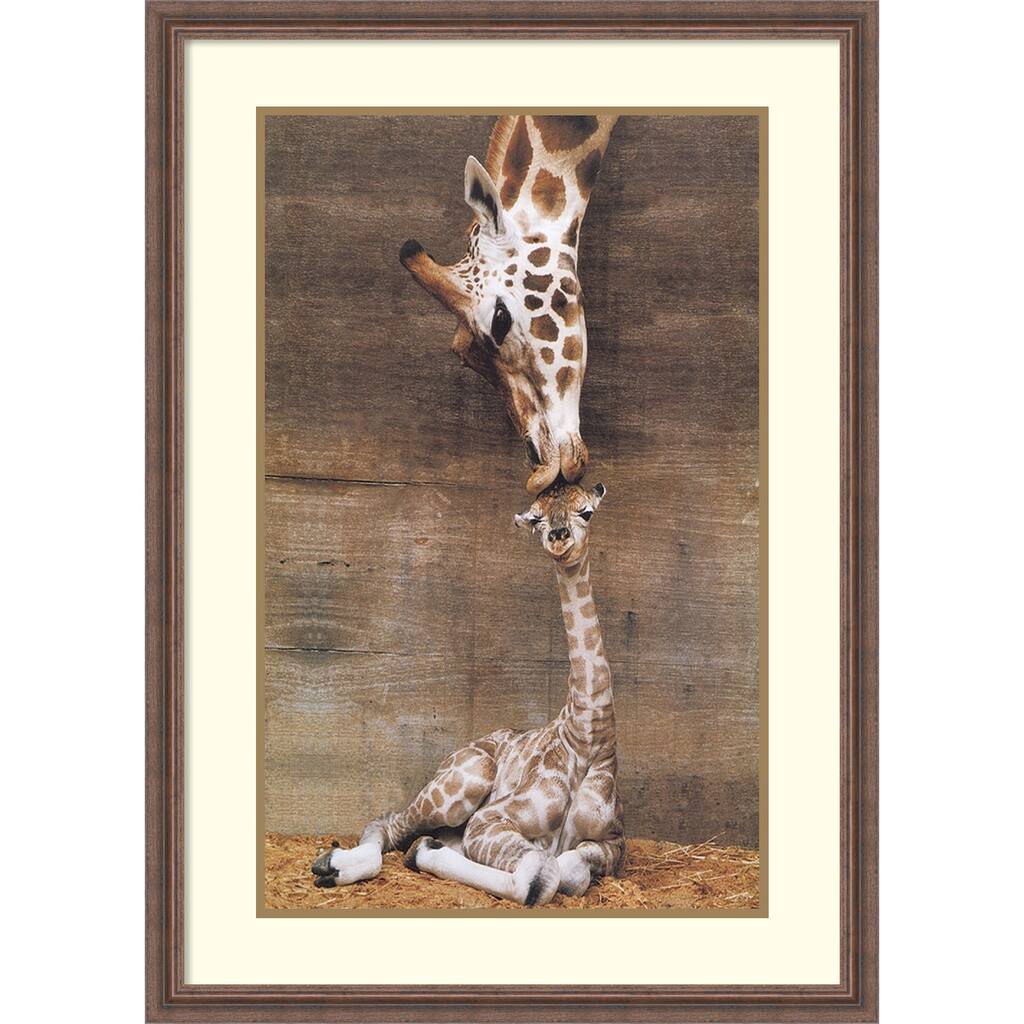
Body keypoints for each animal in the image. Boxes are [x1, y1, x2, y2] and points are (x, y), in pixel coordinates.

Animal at [311, 482, 624, 905]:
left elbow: (571, 870)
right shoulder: (489, 820)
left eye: (586, 512)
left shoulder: (615, 842)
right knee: (389, 822)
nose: (559, 538)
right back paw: (333, 864)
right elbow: (541, 876)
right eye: (537, 519)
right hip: (465, 780)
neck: (588, 735)